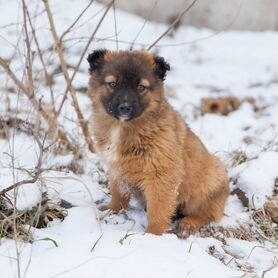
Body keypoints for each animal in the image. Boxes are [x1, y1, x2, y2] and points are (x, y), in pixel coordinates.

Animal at [87, 50, 228, 237]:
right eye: (112, 84)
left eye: (141, 88)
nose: (124, 107)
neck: (122, 128)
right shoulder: (116, 169)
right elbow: (118, 193)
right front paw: (112, 210)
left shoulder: (160, 175)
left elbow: (158, 209)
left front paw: (153, 235)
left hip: (209, 181)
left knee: (207, 212)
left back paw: (189, 223)